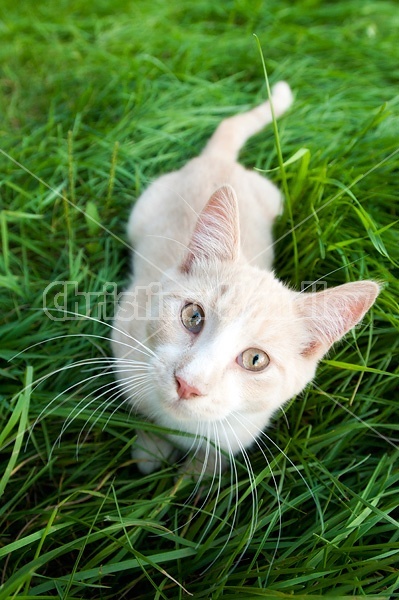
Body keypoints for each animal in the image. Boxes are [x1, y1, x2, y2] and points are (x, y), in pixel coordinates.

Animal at [111, 83, 380, 478]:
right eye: (193, 316)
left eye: (256, 360)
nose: (188, 384)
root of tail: (220, 160)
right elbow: (143, 412)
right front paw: (150, 446)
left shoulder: (241, 431)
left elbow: (209, 462)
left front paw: (195, 477)